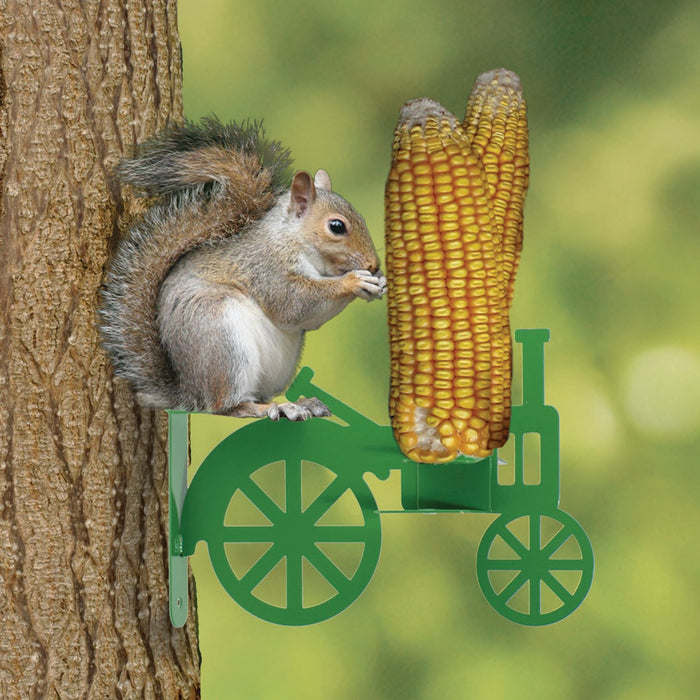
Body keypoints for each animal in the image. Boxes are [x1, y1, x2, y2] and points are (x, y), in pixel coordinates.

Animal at [99, 117, 386, 420]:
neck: (291, 238)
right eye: (337, 226)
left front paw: (379, 282)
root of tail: (190, 393)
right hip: (223, 342)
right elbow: (295, 304)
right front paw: (355, 281)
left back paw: (300, 403)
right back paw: (272, 408)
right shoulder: (267, 267)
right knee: (227, 406)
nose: (373, 264)